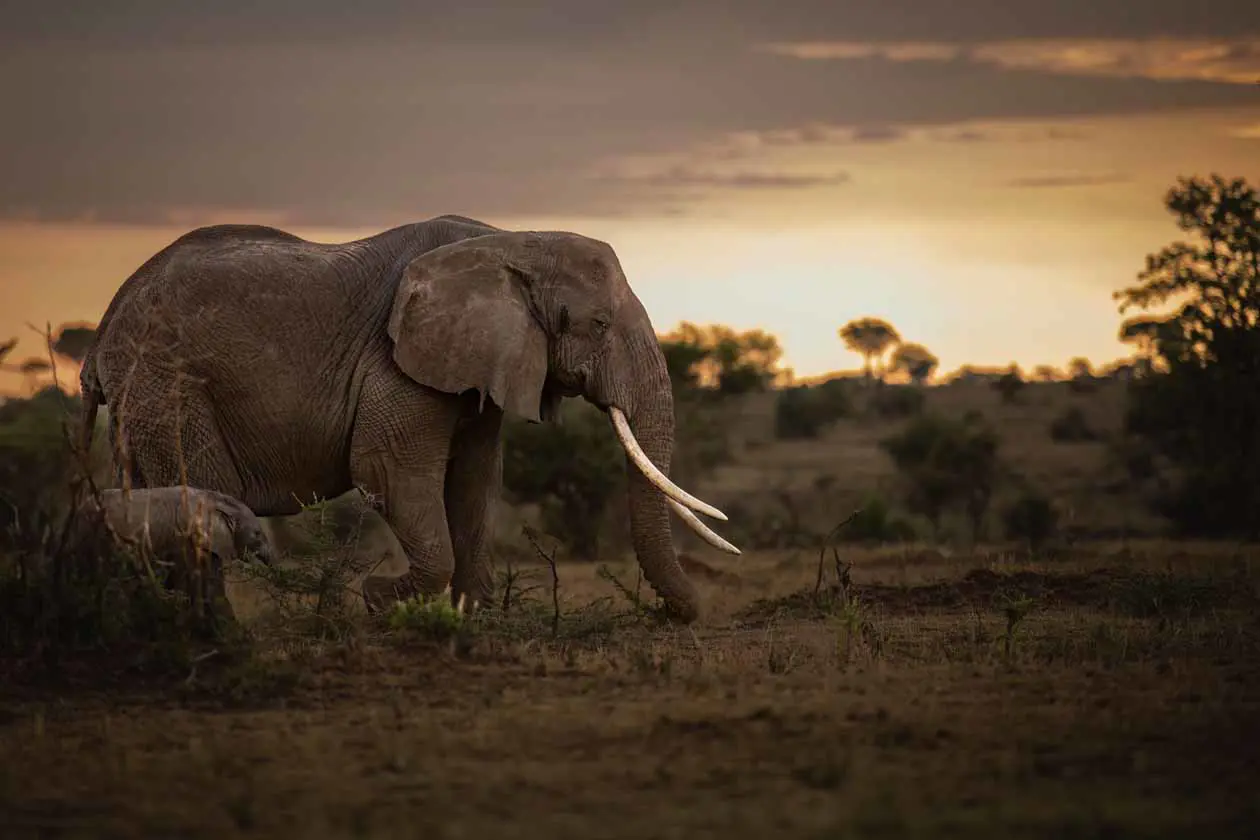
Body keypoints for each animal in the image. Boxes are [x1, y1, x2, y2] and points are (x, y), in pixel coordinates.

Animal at [78, 216, 735, 624]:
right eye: (597, 325)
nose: (672, 615)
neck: (513, 242)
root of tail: (104, 325)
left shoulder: (480, 363)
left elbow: (475, 482)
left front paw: (469, 619)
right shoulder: (396, 360)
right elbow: (389, 471)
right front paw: (377, 600)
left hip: (146, 401)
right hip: (168, 388)